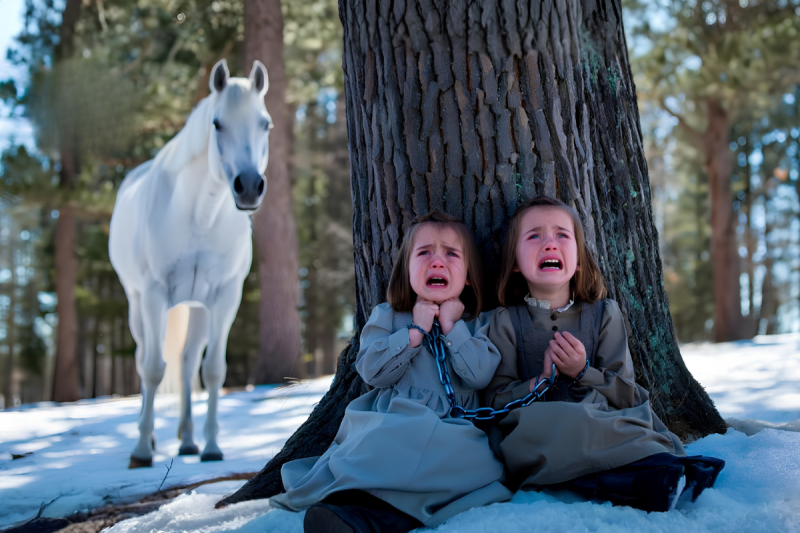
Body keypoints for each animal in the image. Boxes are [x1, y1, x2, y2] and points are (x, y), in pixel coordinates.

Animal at [109, 59, 271, 468]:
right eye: (217, 123)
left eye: (265, 123)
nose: (249, 186)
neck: (201, 216)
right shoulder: (153, 295)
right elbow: (153, 370)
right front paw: (140, 452)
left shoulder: (226, 297)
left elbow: (213, 371)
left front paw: (213, 447)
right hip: (138, 304)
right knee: (144, 359)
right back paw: (151, 439)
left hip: (197, 307)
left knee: (185, 362)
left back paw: (187, 441)